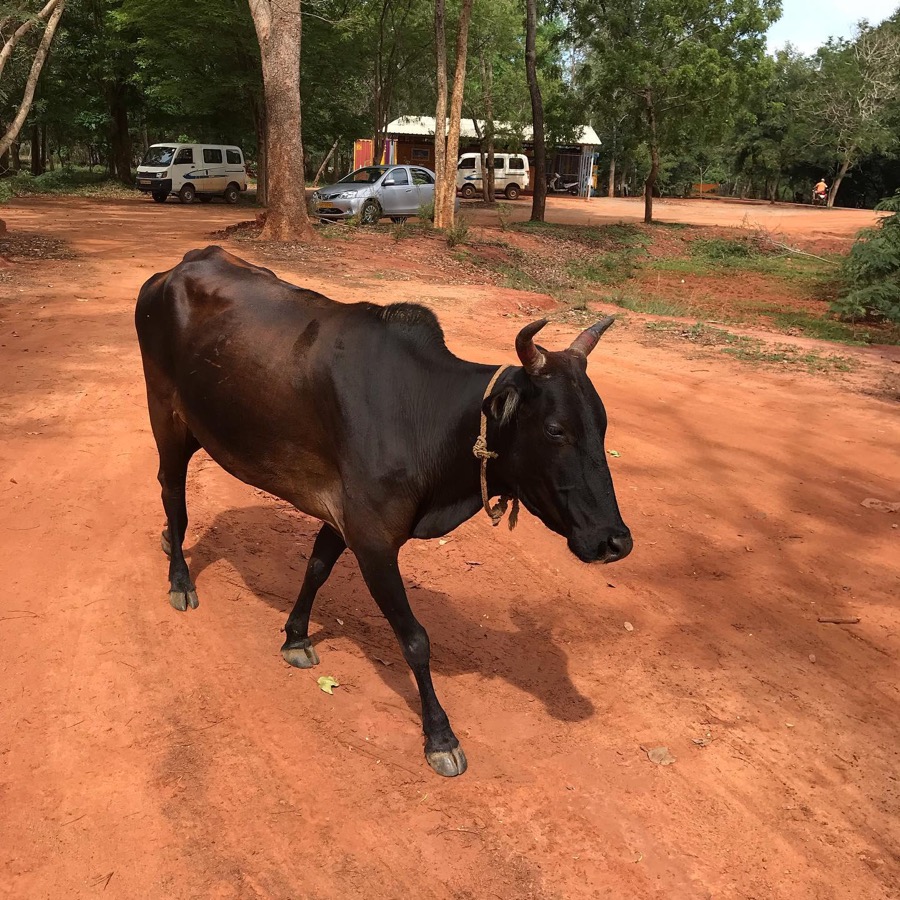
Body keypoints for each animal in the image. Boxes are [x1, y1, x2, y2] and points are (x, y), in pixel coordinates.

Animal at [135, 245, 632, 777]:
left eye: (602, 423)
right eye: (556, 429)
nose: (615, 541)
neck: (428, 418)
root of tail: (179, 267)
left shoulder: (344, 518)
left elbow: (316, 568)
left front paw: (296, 637)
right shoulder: (374, 541)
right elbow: (415, 639)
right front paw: (439, 736)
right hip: (165, 416)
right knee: (173, 494)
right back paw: (180, 577)